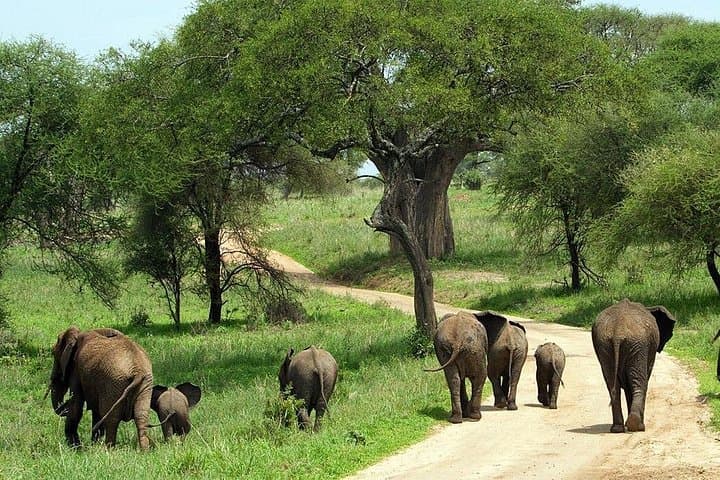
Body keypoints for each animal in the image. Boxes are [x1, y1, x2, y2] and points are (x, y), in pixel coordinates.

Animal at [591, 299, 676, 433]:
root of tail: (618, 332)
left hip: (605, 345)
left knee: (612, 386)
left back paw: (618, 428)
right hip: (638, 344)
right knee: (640, 383)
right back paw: (638, 426)